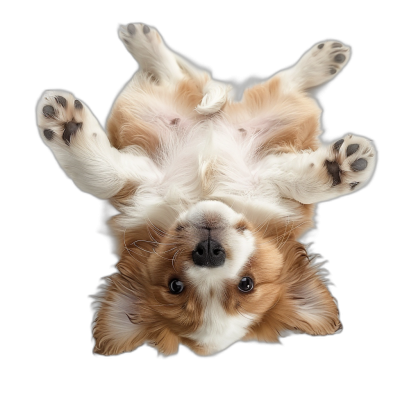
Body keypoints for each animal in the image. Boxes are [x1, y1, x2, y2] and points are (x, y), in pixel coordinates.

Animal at [36, 22, 376, 356]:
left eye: (247, 284)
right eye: (175, 286)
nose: (209, 252)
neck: (208, 196)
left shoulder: (272, 182)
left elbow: (299, 183)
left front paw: (341, 169)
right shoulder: (139, 184)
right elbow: (103, 177)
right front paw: (68, 128)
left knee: (283, 84)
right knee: (182, 78)